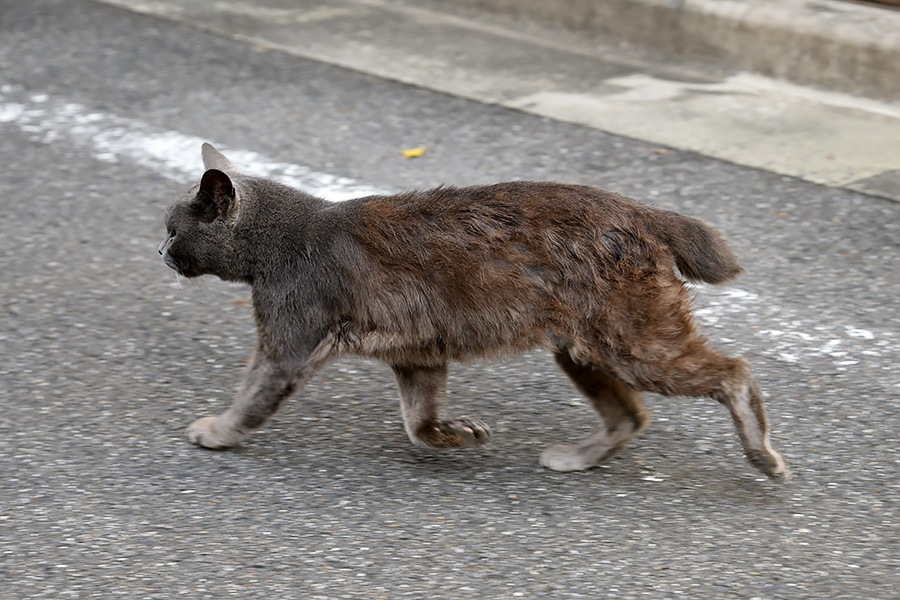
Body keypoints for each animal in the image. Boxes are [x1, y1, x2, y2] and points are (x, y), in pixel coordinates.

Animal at [160, 142, 788, 482]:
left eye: (172, 229)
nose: (160, 251)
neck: (283, 240)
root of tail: (643, 211)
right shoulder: (415, 354)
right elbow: (418, 423)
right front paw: (457, 436)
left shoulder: (287, 342)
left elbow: (252, 397)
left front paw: (216, 431)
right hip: (583, 347)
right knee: (631, 415)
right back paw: (577, 458)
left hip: (632, 341)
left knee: (734, 372)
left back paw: (762, 455)